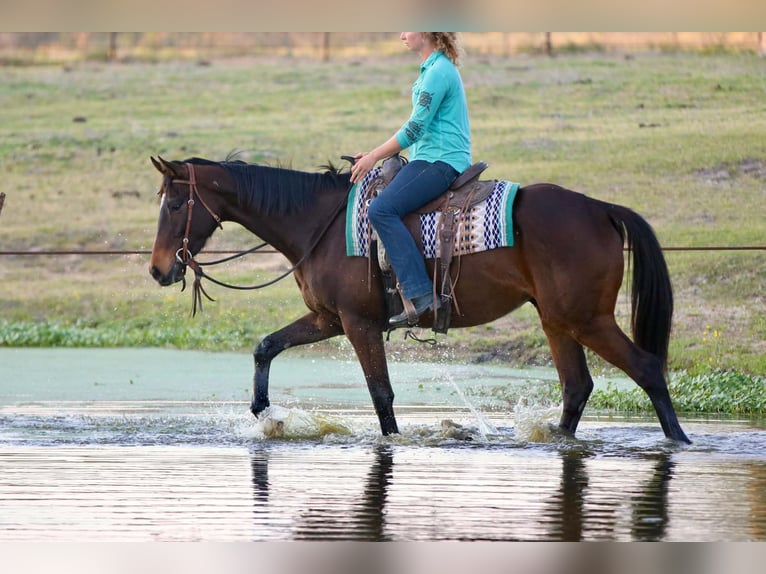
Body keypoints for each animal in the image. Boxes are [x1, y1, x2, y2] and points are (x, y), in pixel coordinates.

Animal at [148, 156, 691, 444]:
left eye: (174, 204)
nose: (158, 269)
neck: (318, 224)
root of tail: (600, 208)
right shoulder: (327, 318)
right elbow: (266, 345)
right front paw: (264, 412)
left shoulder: (359, 323)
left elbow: (381, 394)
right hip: (558, 321)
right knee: (577, 387)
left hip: (587, 318)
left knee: (645, 367)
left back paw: (679, 442)